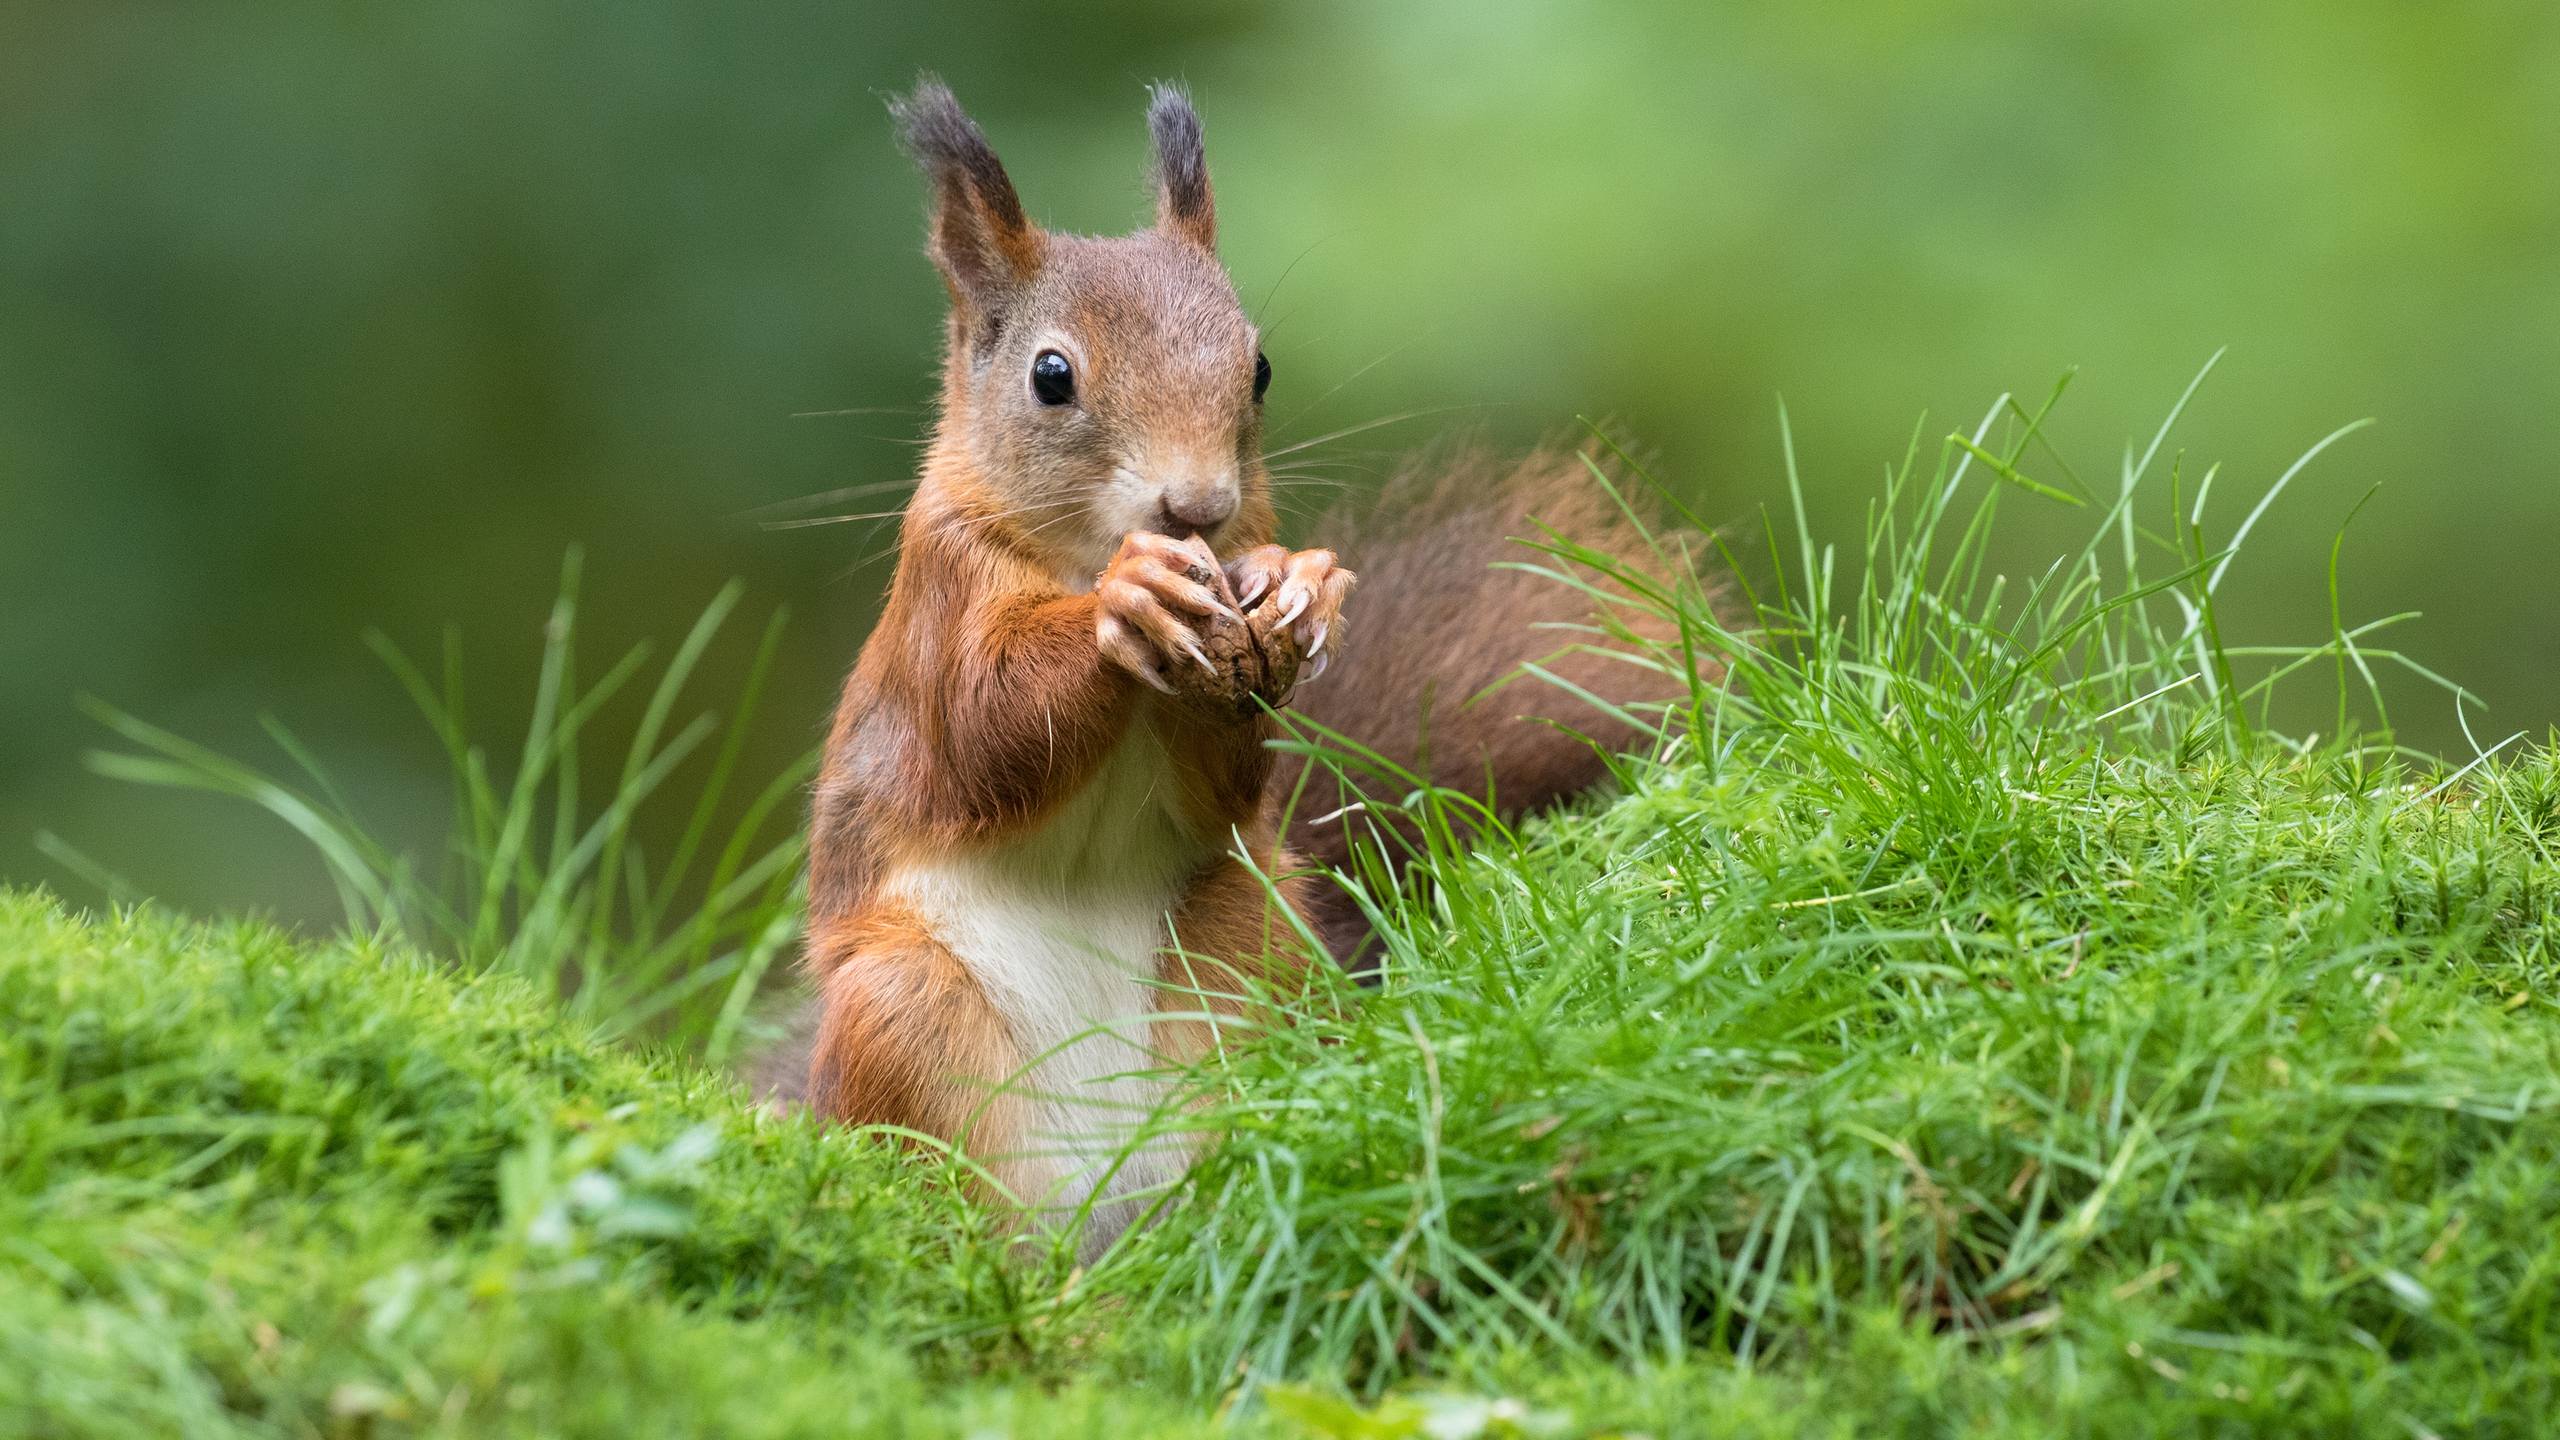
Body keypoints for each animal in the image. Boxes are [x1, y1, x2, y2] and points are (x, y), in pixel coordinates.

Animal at [768, 78, 1710, 1250]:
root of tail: (1103, 1208)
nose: (1200, 507)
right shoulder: (938, 606)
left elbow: (1225, 783)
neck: (1079, 555)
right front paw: (1125, 603)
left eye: (1258, 366)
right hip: (900, 1012)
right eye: (1049, 376)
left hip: (1249, 956)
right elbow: (986, 734)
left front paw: (1299, 585)